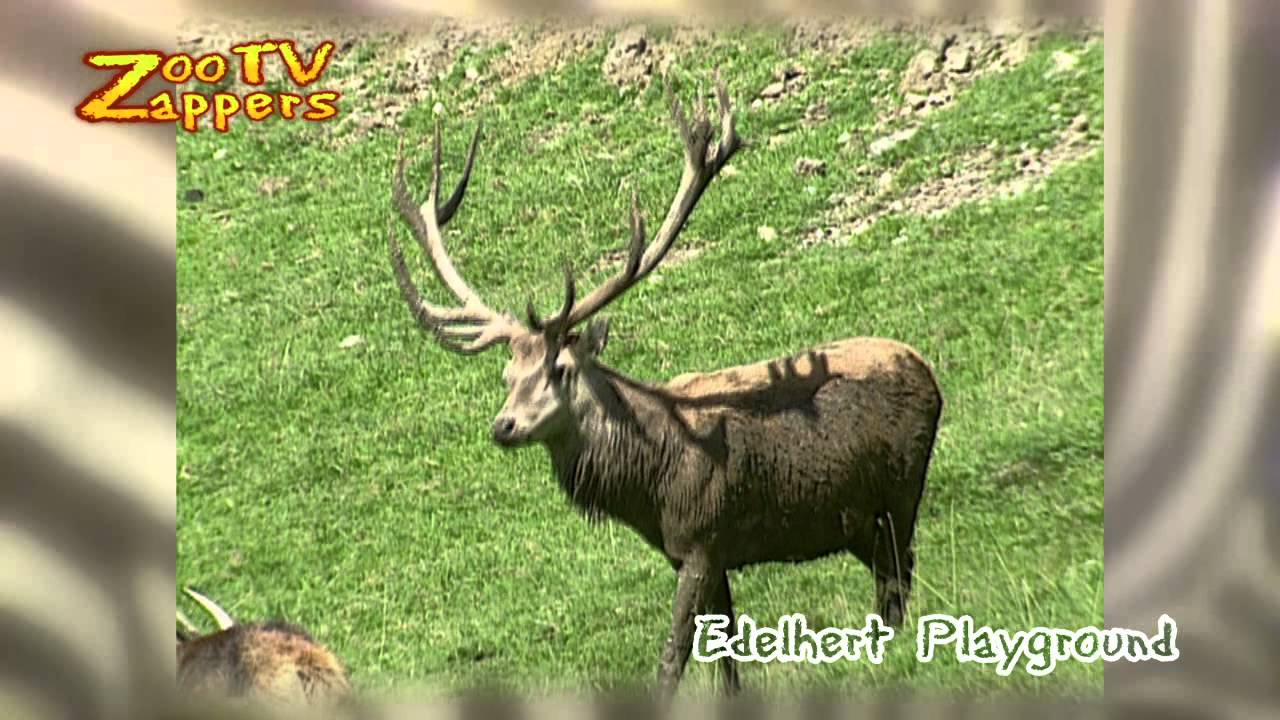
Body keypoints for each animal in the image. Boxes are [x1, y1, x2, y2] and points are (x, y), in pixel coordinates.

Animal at [382, 73, 943, 702]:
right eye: (507, 376)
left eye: (559, 370)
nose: (504, 426)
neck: (650, 487)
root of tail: (928, 371)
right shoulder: (700, 554)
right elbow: (726, 659)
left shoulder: (702, 537)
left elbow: (674, 658)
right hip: (858, 518)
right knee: (889, 585)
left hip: (902, 489)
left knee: (898, 578)